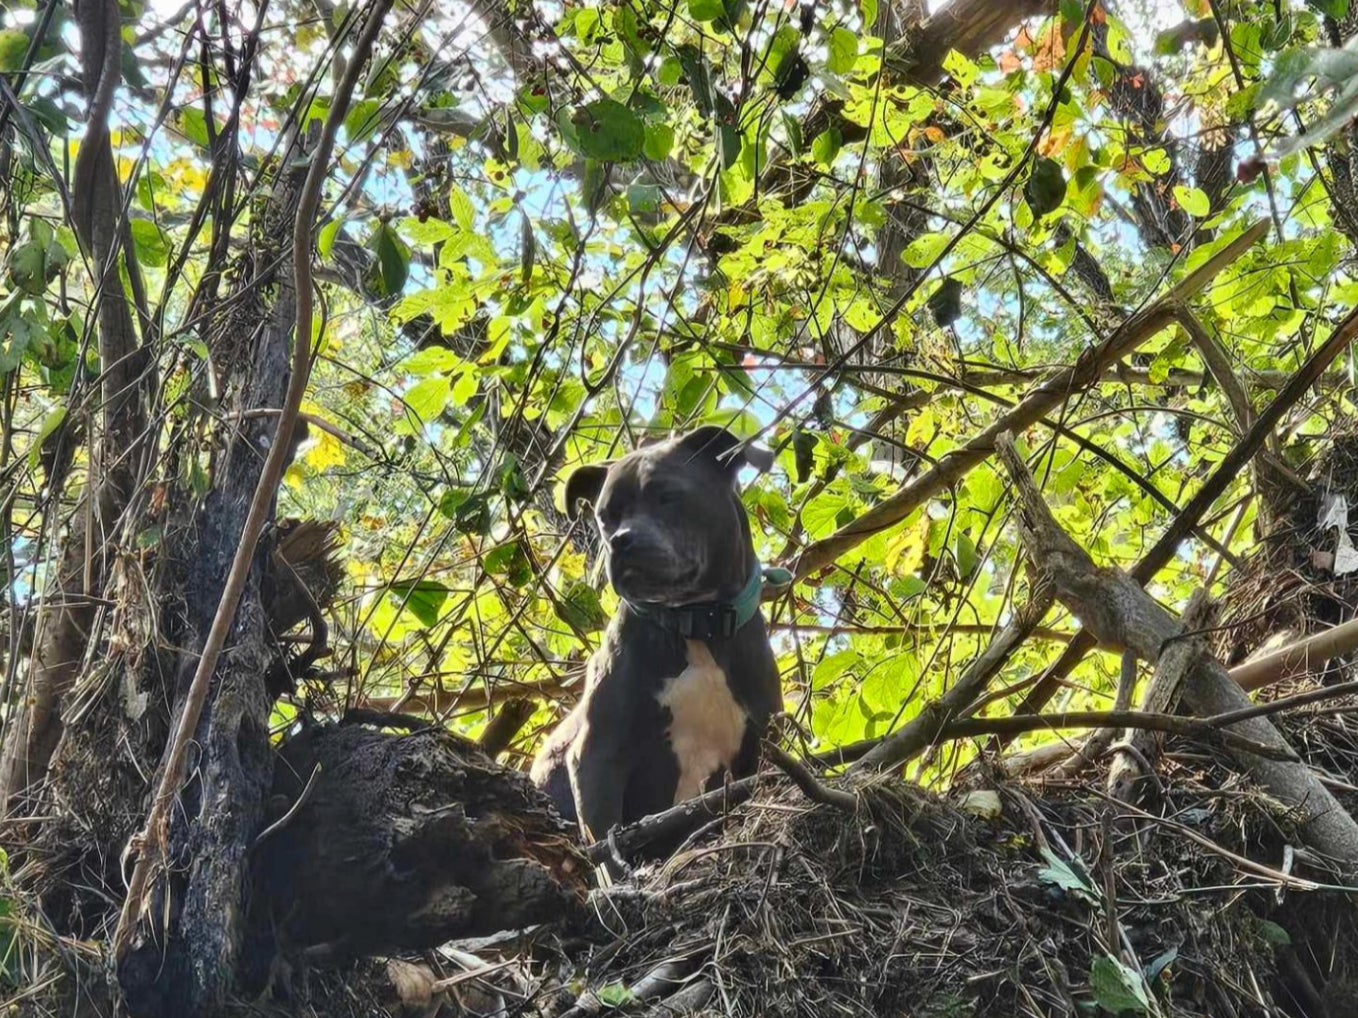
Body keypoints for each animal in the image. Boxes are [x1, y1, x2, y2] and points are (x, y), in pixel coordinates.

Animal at [529, 428, 787, 852]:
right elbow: (606, 845)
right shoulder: (597, 754)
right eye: (605, 516)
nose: (620, 540)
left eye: (667, 495)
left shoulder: (758, 749)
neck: (695, 623)